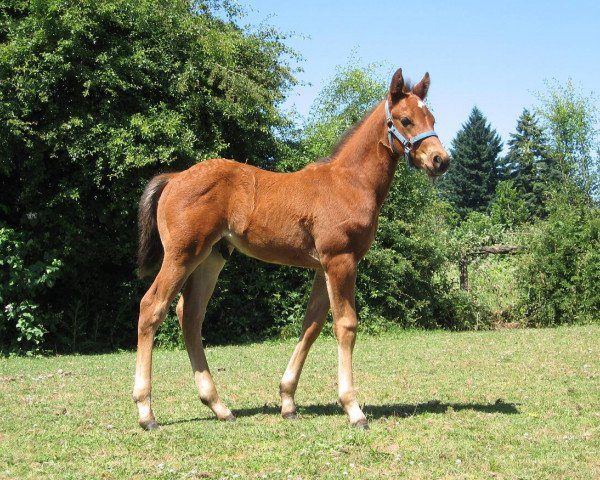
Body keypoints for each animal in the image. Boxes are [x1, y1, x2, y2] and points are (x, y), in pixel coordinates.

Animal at [132, 65, 450, 430]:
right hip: (182, 255)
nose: (441, 160)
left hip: (211, 258)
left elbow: (311, 326)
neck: (350, 182)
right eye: (405, 119)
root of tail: (173, 178)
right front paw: (353, 409)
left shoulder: (323, 266)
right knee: (152, 307)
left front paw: (287, 402)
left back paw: (219, 406)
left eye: (431, 117)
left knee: (191, 314)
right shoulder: (341, 260)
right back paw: (146, 412)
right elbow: (346, 325)